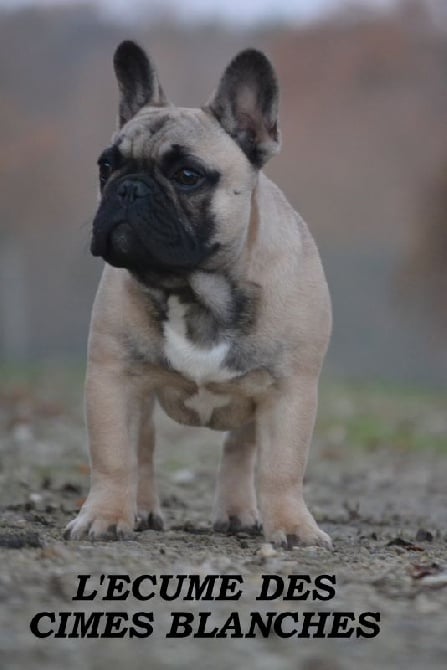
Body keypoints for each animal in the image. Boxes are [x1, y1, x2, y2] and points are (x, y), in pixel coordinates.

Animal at [65, 40, 332, 552]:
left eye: (188, 175)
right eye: (106, 165)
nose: (128, 188)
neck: (195, 289)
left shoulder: (289, 391)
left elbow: (281, 467)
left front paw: (292, 526)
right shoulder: (112, 379)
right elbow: (114, 457)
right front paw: (104, 515)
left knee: (240, 449)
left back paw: (237, 512)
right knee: (144, 447)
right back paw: (141, 509)